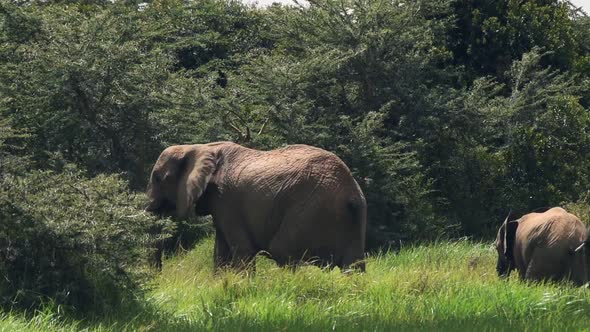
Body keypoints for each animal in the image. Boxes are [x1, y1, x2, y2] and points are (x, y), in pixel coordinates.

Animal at [146, 141, 368, 272]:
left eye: (158, 178)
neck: (199, 147)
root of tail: (350, 190)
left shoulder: (227, 200)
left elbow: (242, 249)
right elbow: (220, 253)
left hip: (309, 208)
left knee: (283, 251)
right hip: (353, 216)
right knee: (354, 265)